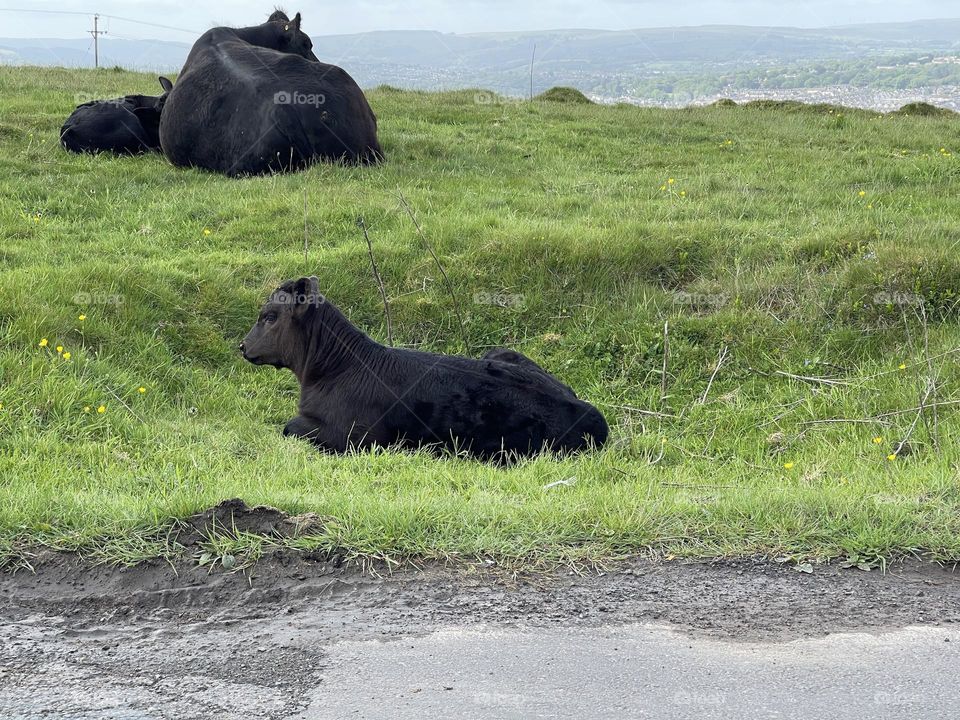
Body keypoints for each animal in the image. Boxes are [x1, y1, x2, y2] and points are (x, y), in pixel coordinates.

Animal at [240, 277, 609, 461]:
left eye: (269, 316)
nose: (242, 346)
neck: (334, 370)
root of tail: (588, 410)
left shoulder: (351, 437)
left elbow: (289, 427)